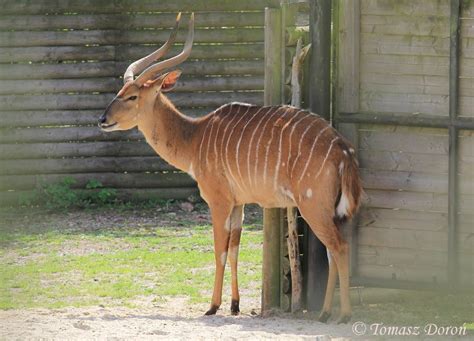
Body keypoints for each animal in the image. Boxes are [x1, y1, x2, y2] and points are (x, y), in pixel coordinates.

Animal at [97, 12, 362, 322]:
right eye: (120, 91)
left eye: (132, 96)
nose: (102, 120)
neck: (195, 138)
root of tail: (342, 148)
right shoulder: (239, 203)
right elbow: (235, 249)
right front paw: (235, 305)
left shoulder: (219, 201)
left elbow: (219, 251)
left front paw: (212, 306)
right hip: (326, 210)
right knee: (333, 250)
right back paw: (324, 312)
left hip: (312, 206)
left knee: (340, 247)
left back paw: (343, 314)